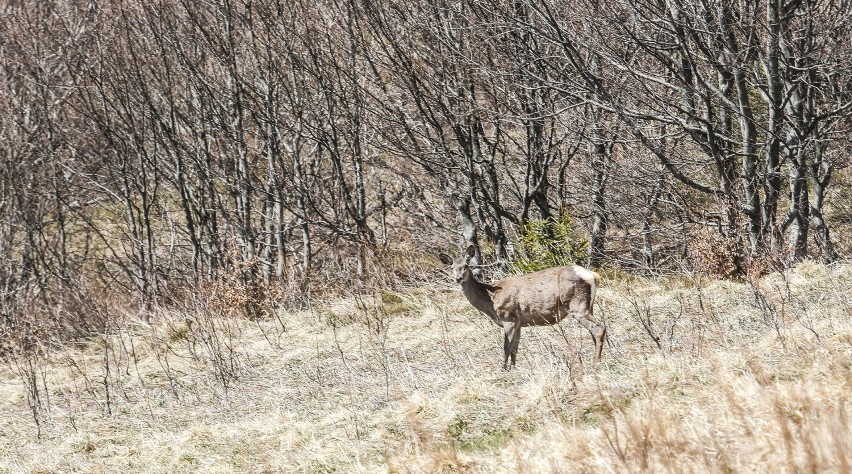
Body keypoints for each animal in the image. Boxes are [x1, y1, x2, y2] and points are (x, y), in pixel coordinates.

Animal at [440, 246, 604, 368]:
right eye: (452, 267)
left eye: (466, 266)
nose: (458, 278)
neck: (491, 300)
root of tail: (592, 275)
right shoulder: (519, 322)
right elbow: (515, 348)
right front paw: (513, 368)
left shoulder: (508, 317)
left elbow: (506, 347)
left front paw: (503, 370)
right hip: (588, 305)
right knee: (594, 330)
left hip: (576, 304)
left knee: (598, 328)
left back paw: (596, 363)